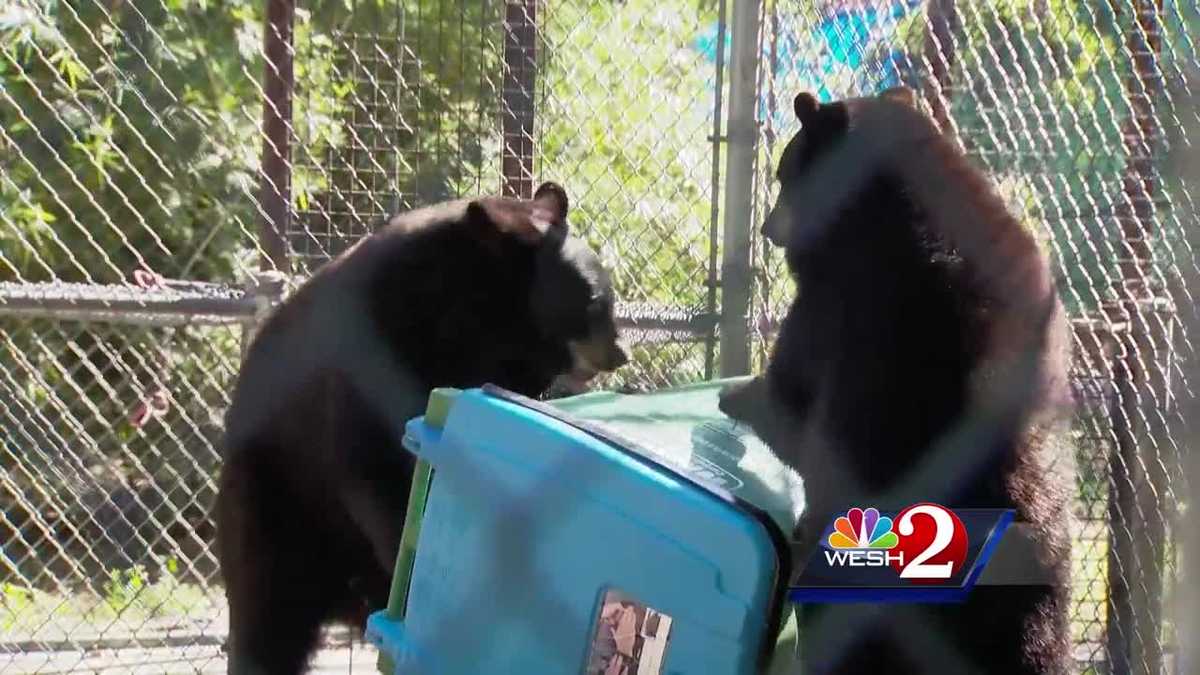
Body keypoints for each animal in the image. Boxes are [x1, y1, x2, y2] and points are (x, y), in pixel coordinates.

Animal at [216, 182, 627, 674]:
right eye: (596, 301)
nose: (620, 353)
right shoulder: (366, 362)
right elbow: (375, 473)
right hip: (274, 506)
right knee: (268, 620)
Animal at [718, 88, 1075, 674]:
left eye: (783, 174)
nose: (769, 229)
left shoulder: (835, 303)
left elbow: (792, 401)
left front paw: (737, 394)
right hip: (1042, 590)